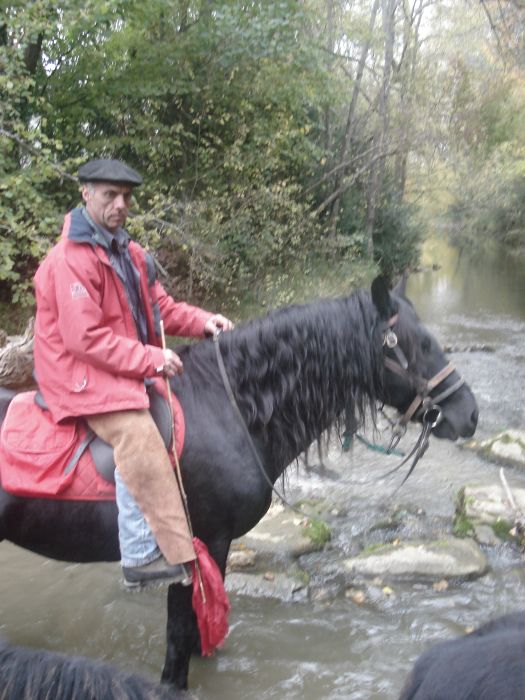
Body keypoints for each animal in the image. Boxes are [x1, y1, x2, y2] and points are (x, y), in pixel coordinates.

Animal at [0, 274, 476, 688]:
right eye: (421, 343)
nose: (469, 415)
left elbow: (197, 631)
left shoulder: (218, 547)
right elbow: (179, 640)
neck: (231, 408)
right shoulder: (199, 548)